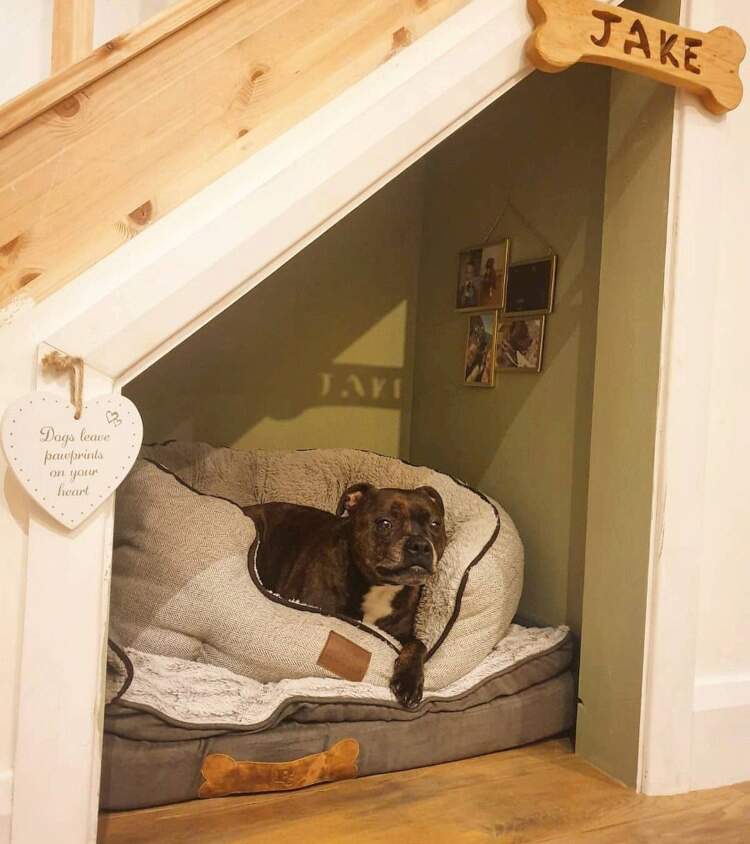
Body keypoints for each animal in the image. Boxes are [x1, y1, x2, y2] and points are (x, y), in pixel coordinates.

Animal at [245, 482, 446, 704]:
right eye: (384, 523)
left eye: (436, 525)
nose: (420, 545)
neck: (380, 586)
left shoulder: (402, 633)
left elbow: (419, 645)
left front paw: (409, 680)